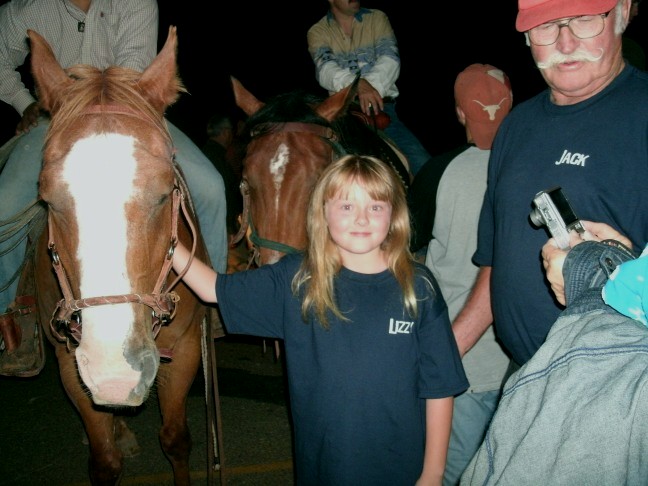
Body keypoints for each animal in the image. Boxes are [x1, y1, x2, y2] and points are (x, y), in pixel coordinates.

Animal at [27, 27, 219, 486]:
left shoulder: (185, 349)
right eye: (46, 198)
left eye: (165, 192)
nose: (115, 372)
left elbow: (175, 439)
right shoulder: (69, 361)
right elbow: (104, 461)